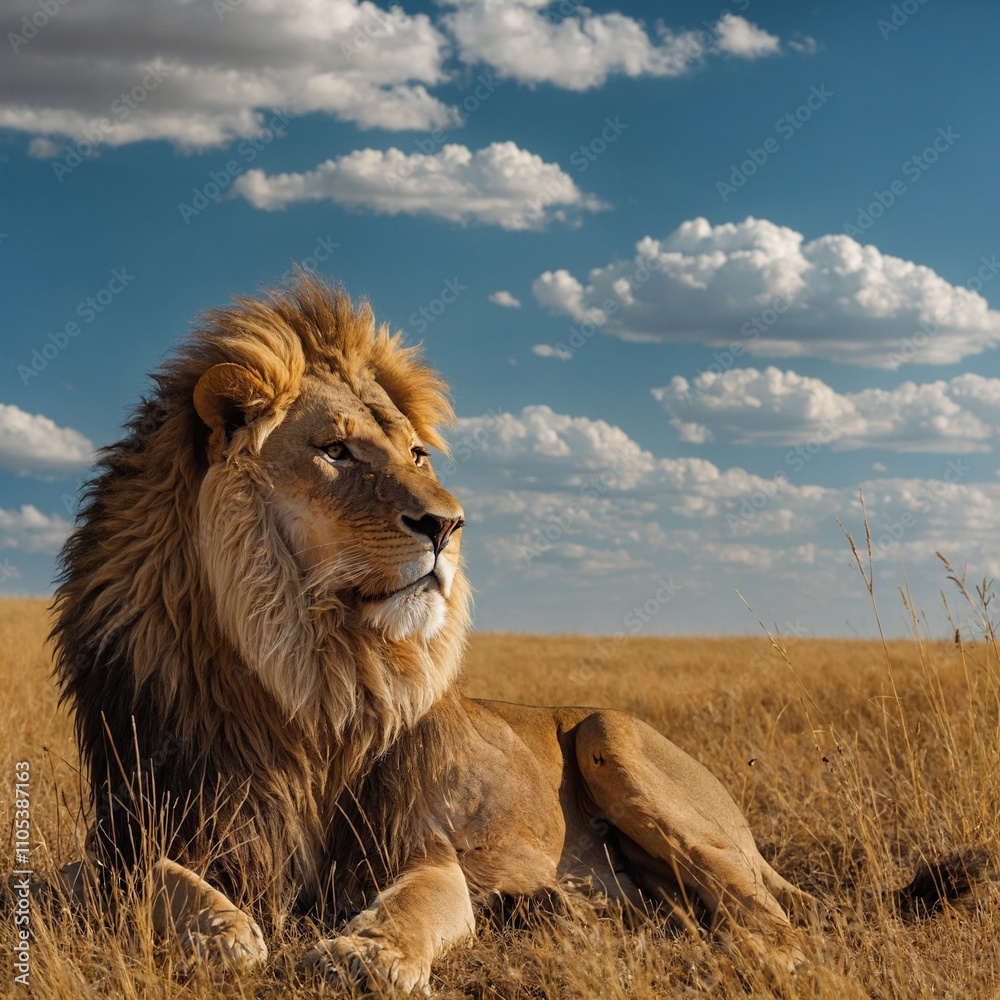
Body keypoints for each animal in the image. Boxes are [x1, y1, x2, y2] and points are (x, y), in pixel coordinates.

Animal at [51, 276, 817, 991]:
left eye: (417, 454)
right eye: (336, 450)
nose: (448, 525)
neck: (309, 675)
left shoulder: (419, 844)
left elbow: (416, 902)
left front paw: (367, 954)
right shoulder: (135, 824)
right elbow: (116, 876)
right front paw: (221, 930)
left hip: (613, 732)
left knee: (773, 920)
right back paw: (567, 910)